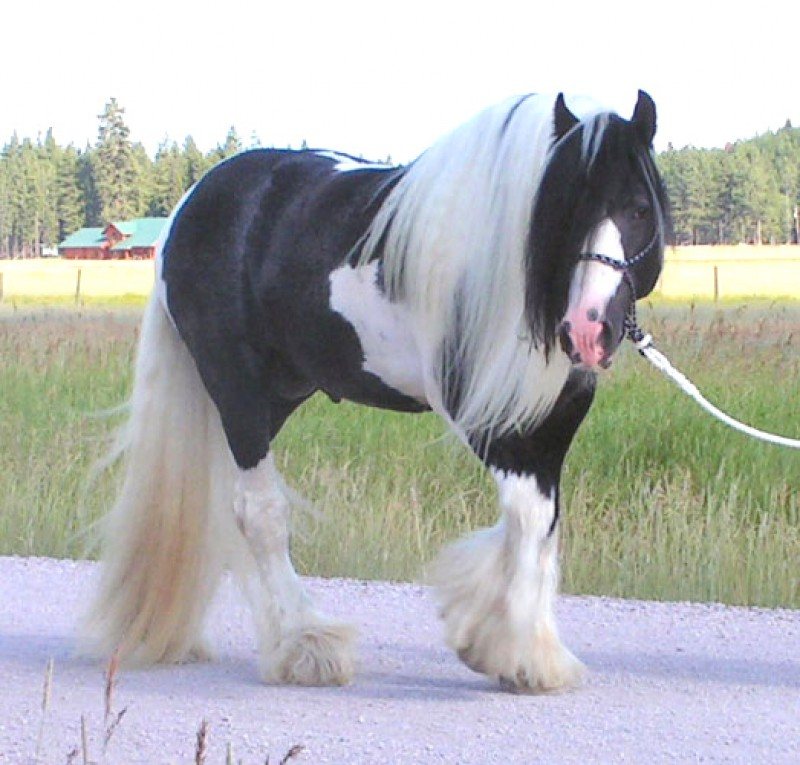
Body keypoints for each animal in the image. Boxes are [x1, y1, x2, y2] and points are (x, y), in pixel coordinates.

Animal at [80, 90, 670, 693]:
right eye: (566, 209)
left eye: (639, 208)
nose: (588, 328)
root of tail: (191, 204)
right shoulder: (489, 419)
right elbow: (526, 520)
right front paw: (523, 658)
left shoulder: (555, 419)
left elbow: (540, 527)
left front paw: (502, 642)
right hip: (236, 389)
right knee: (259, 513)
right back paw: (304, 645)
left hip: (277, 394)